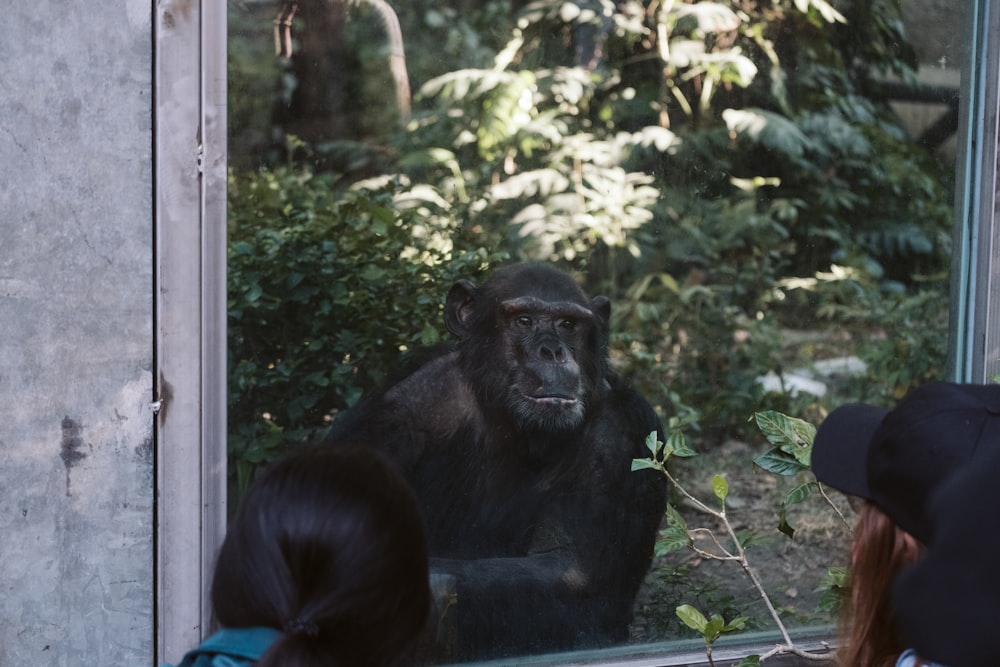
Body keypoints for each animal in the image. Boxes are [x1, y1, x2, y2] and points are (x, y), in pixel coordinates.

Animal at [326, 264, 664, 660]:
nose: (552, 351)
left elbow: (568, 568)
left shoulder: (621, 435)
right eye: (524, 320)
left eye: (568, 324)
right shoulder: (401, 404)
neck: (512, 425)